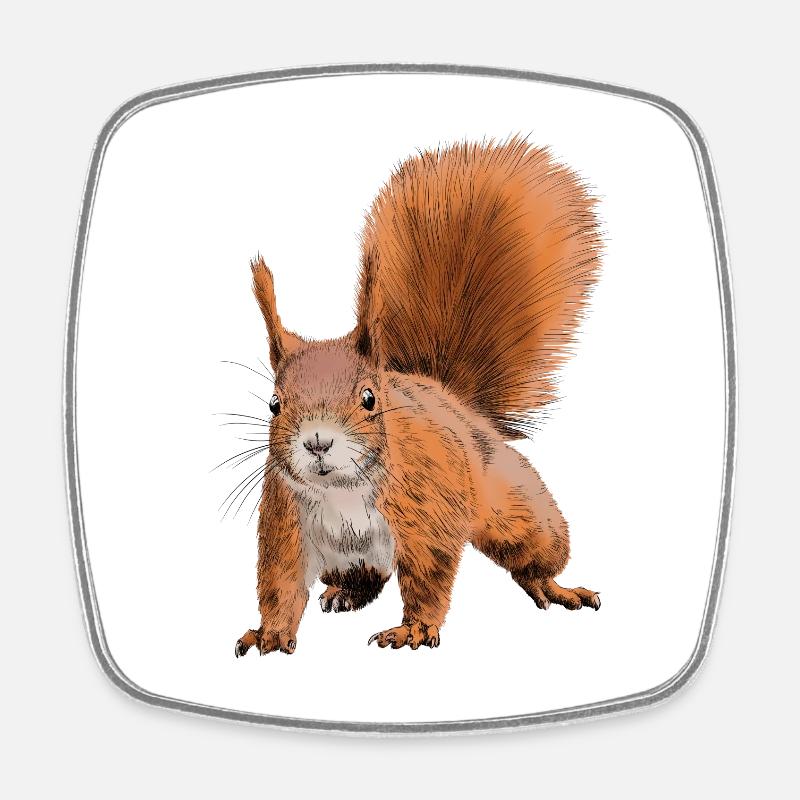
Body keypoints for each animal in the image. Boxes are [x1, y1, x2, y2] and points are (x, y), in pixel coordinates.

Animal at [235, 136, 602, 656]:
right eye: (274, 404)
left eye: (369, 398)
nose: (318, 442)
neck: (342, 491)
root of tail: (448, 395)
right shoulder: (285, 521)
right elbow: (280, 583)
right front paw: (269, 634)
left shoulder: (427, 509)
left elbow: (428, 574)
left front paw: (412, 630)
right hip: (347, 557)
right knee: (367, 577)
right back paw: (344, 593)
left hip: (513, 504)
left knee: (533, 548)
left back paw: (553, 585)